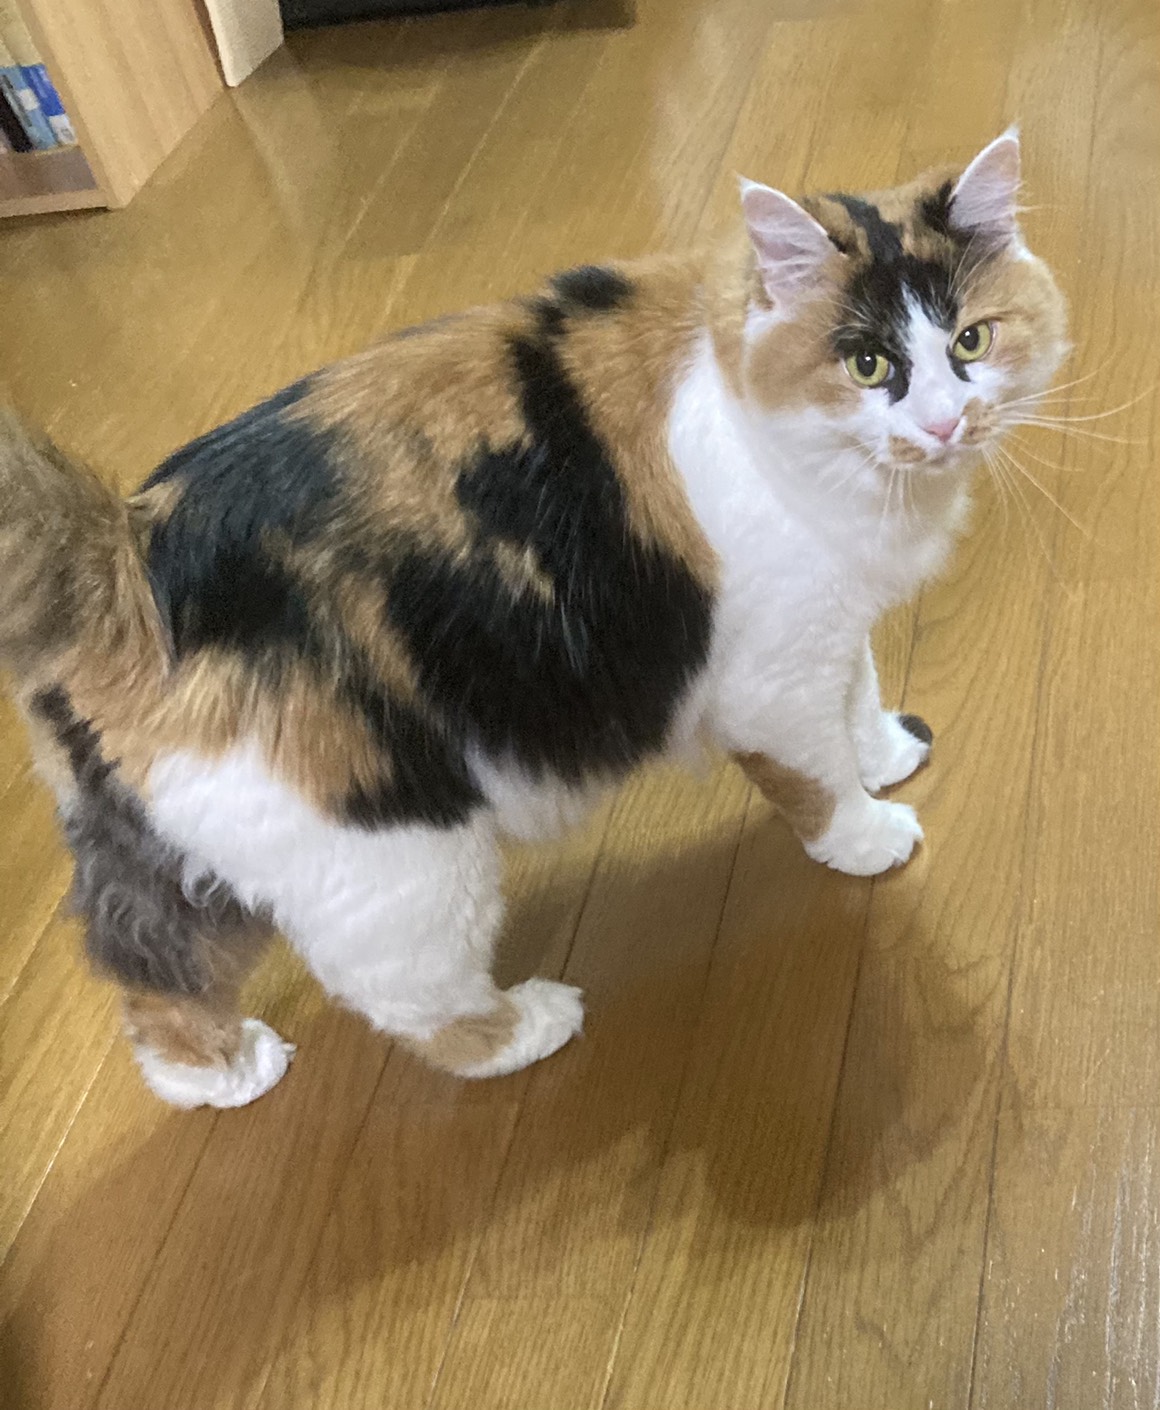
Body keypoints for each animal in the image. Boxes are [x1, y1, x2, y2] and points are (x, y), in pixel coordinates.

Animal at [0, 131, 1067, 1109]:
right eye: (869, 363)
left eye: (971, 342)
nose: (944, 425)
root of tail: (126, 555)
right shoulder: (770, 675)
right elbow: (814, 778)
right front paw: (868, 833)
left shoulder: (828, 624)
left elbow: (859, 690)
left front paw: (887, 750)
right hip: (398, 858)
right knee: (412, 1006)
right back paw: (531, 1025)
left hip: (181, 857)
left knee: (152, 983)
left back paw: (225, 1074)